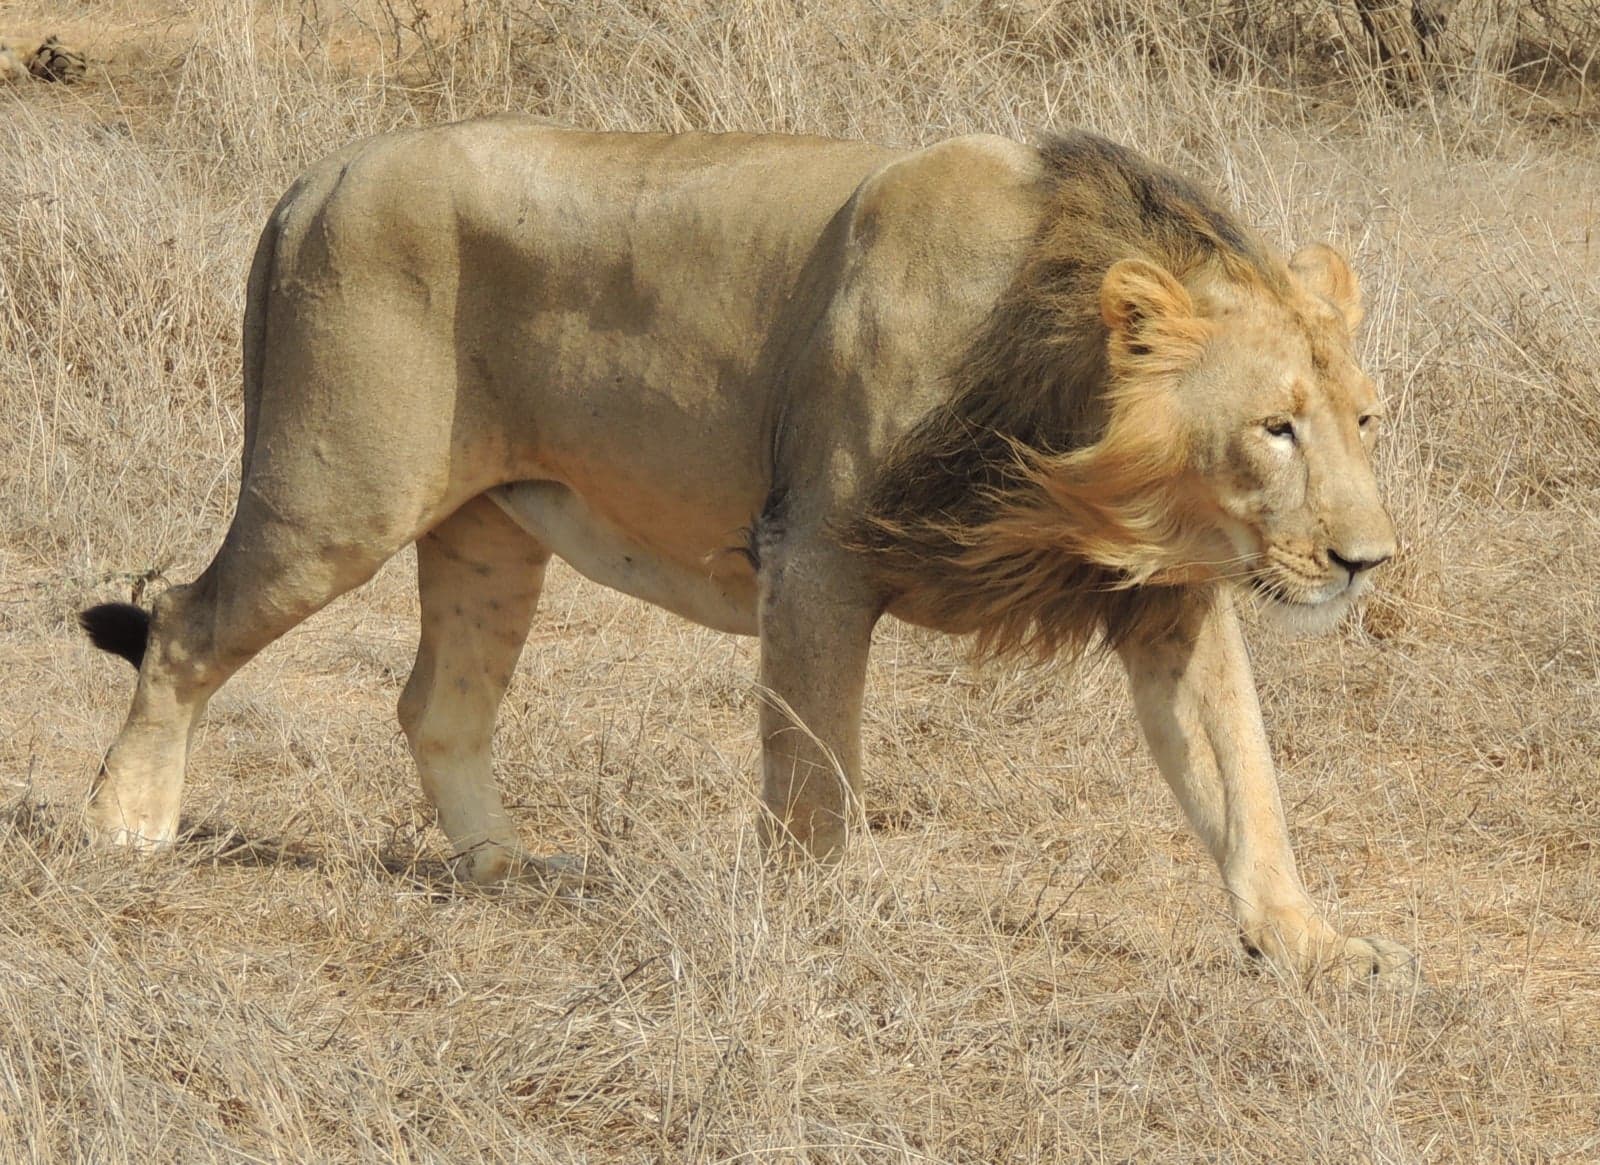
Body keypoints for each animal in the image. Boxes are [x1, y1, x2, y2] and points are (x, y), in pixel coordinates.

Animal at [79, 120, 1411, 978]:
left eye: (1361, 421)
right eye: (1274, 427)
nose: (1367, 562)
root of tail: (317, 175)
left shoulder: (1170, 602)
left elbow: (1245, 777)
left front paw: (1309, 945)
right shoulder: (814, 552)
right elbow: (814, 773)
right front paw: (812, 929)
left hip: (488, 531)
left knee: (436, 703)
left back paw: (505, 869)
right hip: (334, 494)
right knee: (185, 626)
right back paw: (127, 824)